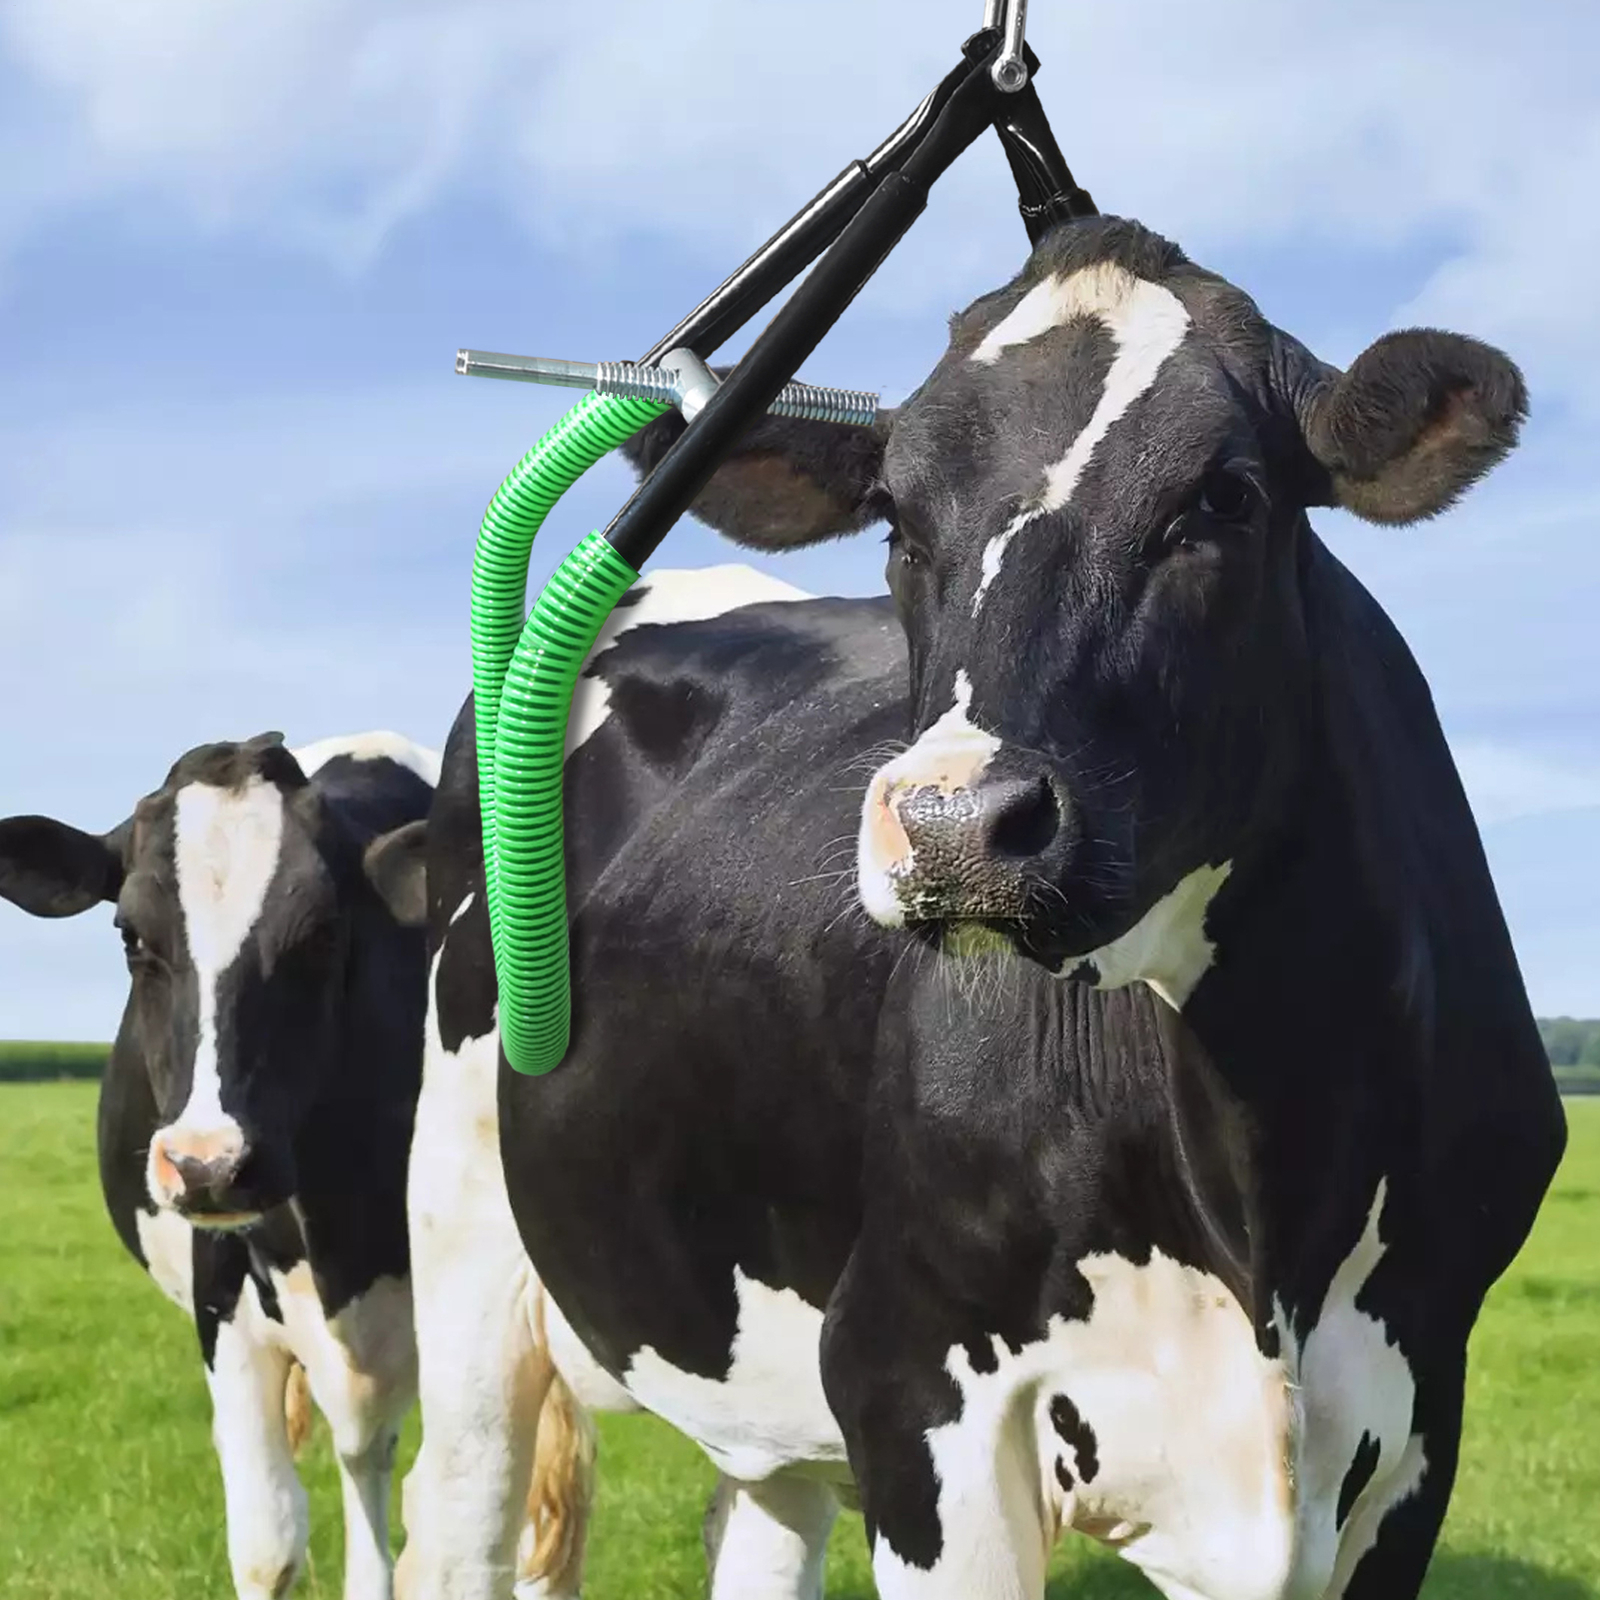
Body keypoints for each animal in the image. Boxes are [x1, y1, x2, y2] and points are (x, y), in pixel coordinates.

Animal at [0, 730, 584, 1600]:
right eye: (133, 937)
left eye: (321, 935)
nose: (208, 1166)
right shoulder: (223, 1302)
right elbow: (268, 1545)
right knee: (359, 1455)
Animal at [382, 215, 1567, 1600]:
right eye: (894, 514)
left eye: (1223, 496)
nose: (953, 823)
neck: (1261, 1202)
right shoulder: (907, 1375)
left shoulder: (1412, 1415)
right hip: (464, 1233)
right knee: (455, 1503)